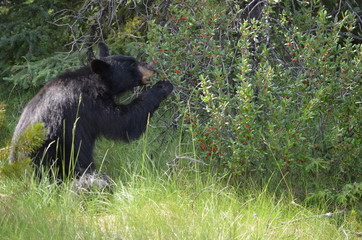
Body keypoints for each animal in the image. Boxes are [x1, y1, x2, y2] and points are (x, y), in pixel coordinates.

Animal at [8, 42, 173, 180]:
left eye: (134, 60)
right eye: (132, 64)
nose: (152, 66)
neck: (97, 83)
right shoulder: (89, 106)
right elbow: (123, 122)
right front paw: (162, 87)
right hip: (46, 153)